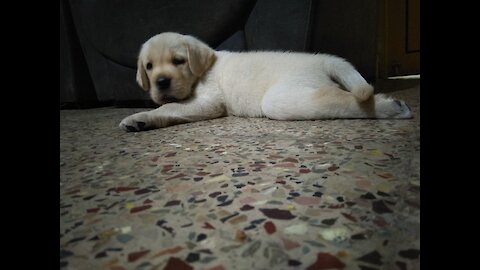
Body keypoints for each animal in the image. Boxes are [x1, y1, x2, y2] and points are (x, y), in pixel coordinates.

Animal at [118, 32, 410, 131]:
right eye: (149, 66)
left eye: (179, 61)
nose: (161, 82)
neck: (201, 72)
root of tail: (324, 60)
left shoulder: (210, 101)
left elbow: (170, 107)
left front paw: (139, 117)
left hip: (281, 98)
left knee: (340, 99)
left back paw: (390, 107)